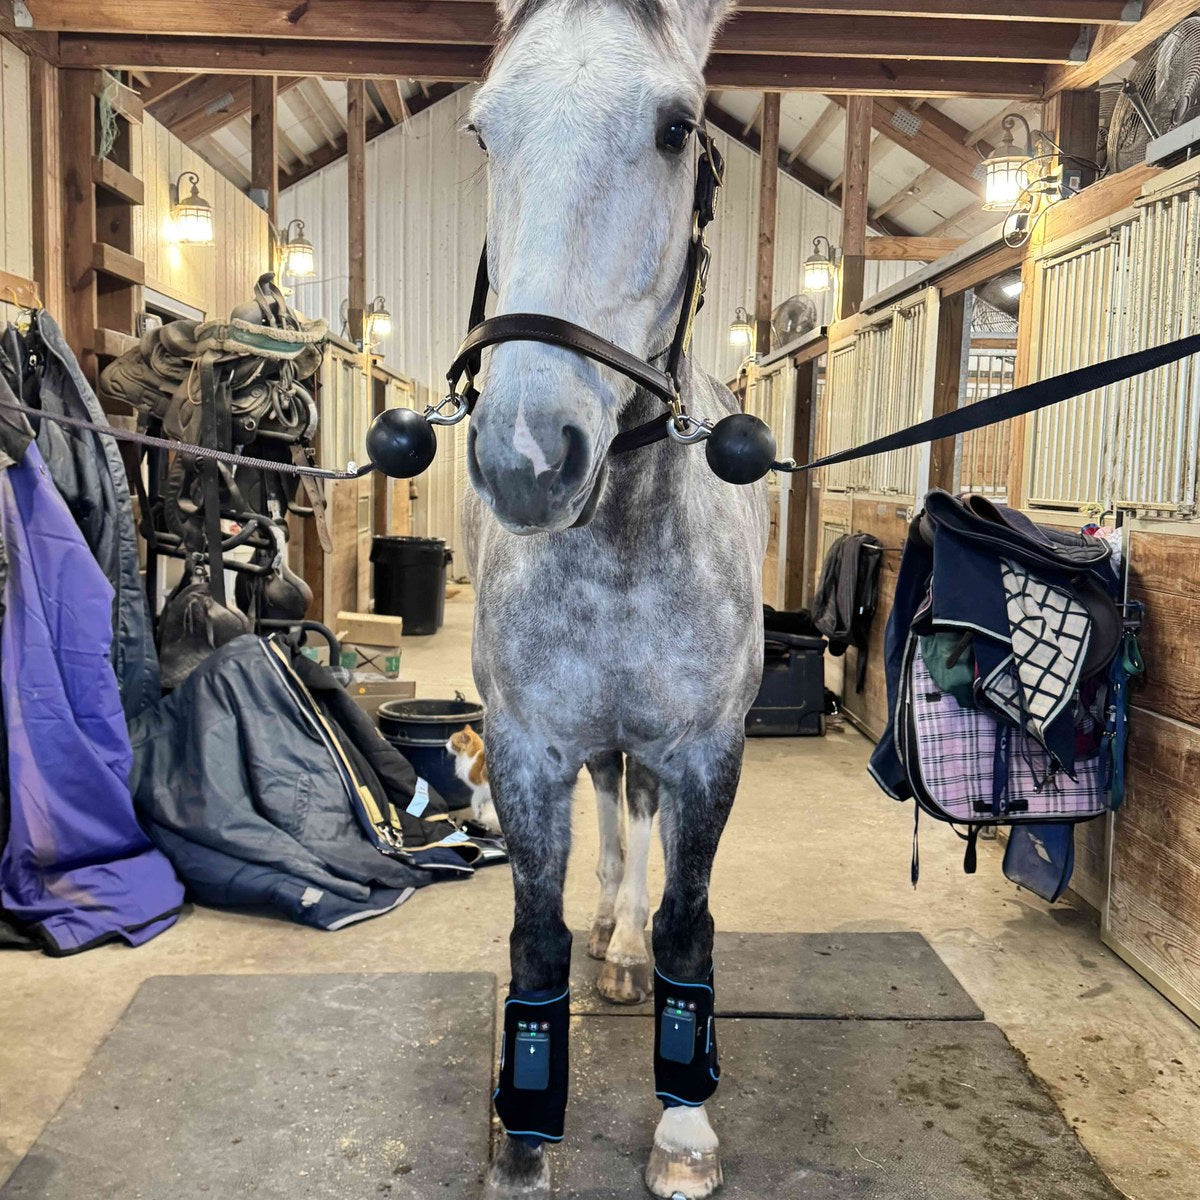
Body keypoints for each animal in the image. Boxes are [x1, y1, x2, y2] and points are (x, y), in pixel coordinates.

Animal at [461, 0, 767, 1194]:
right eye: (485, 131)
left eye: (677, 128)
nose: (528, 456)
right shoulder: (528, 746)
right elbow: (533, 936)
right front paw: (522, 1138)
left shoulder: (706, 751)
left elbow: (688, 923)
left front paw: (684, 1134)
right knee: (610, 807)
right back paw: (606, 931)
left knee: (636, 821)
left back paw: (626, 949)